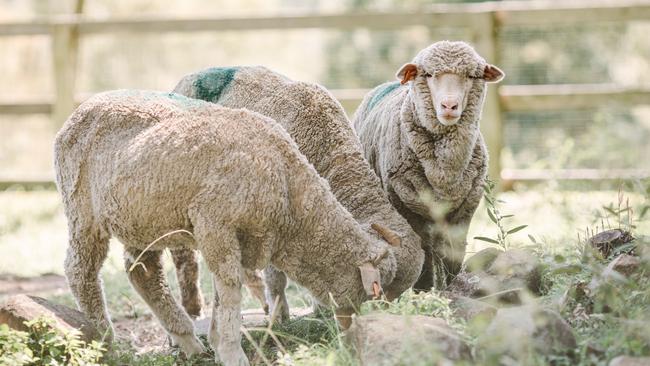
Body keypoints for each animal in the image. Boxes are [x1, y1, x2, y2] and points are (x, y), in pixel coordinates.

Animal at [55, 89, 398, 366]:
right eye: (368, 291)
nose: (349, 339)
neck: (290, 192)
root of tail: (78, 112)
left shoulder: (240, 239)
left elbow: (223, 293)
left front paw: (219, 342)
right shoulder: (215, 222)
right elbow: (231, 289)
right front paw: (233, 353)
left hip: (141, 219)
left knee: (143, 272)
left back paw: (189, 342)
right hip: (82, 211)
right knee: (80, 271)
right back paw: (105, 339)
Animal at [352, 40, 504, 290]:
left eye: (471, 75)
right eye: (430, 74)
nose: (449, 105)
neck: (444, 173)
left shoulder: (465, 208)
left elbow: (453, 253)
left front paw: (449, 287)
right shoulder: (406, 206)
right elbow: (423, 254)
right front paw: (423, 290)